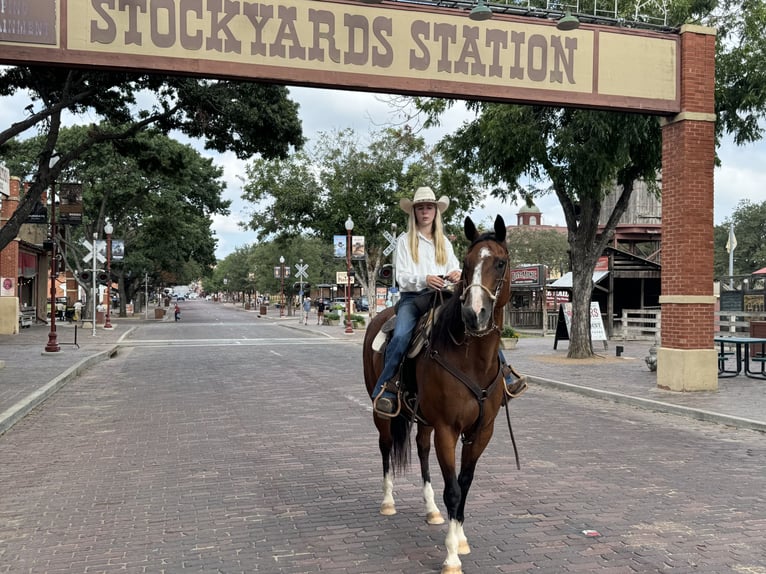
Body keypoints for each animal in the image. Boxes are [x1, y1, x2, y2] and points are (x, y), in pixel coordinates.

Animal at [364, 215, 512, 574]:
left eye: (500, 262)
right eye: (468, 264)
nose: (475, 314)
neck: (472, 359)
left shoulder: (481, 432)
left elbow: (465, 483)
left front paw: (460, 538)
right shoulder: (448, 429)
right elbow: (454, 490)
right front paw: (451, 556)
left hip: (424, 419)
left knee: (421, 449)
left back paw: (431, 510)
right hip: (382, 413)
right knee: (385, 447)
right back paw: (388, 501)